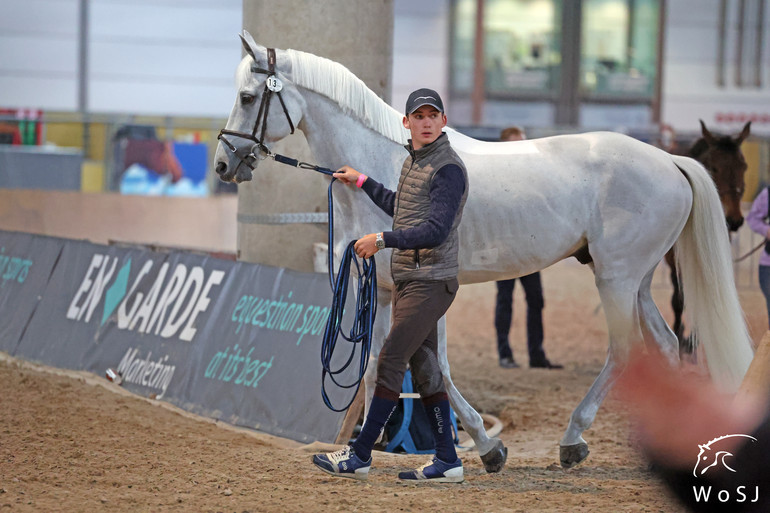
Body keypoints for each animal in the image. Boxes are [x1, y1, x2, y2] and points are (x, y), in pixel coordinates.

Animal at [664, 119, 748, 348]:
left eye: (744, 167)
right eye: (714, 167)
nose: (734, 219)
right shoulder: (674, 260)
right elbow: (678, 299)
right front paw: (681, 335)